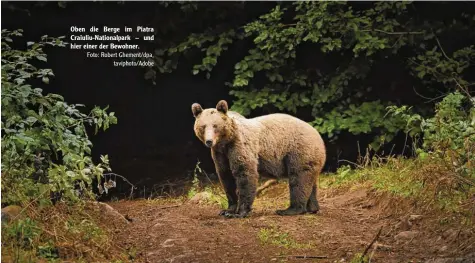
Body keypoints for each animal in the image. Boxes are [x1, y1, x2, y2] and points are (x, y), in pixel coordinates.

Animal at [192, 100, 326, 218]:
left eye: (215, 125)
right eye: (203, 126)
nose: (209, 141)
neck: (225, 142)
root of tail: (318, 135)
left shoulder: (239, 146)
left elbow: (245, 173)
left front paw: (239, 212)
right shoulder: (220, 154)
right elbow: (226, 176)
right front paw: (227, 210)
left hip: (299, 151)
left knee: (298, 179)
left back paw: (289, 209)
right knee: (309, 181)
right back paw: (312, 207)